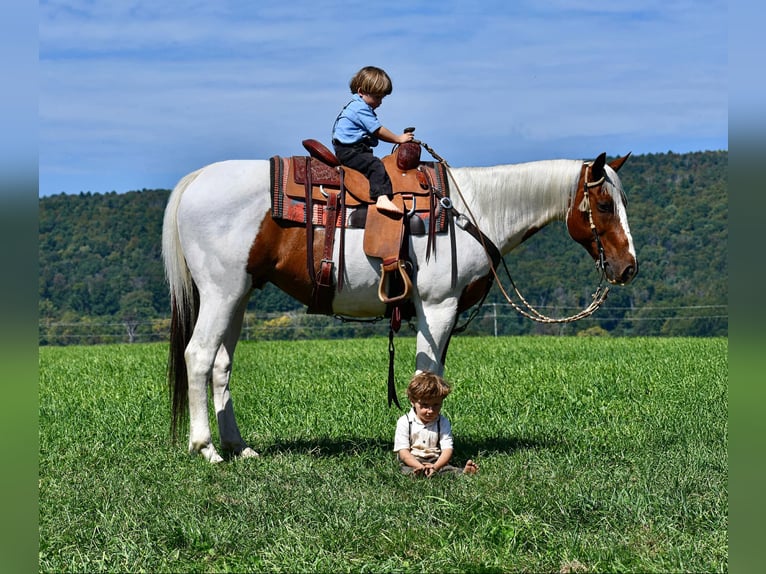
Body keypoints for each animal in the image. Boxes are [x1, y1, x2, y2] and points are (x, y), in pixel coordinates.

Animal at [160, 150, 636, 464]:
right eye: (604, 205)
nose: (628, 267)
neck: (473, 211)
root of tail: (196, 179)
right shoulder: (437, 307)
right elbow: (428, 373)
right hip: (221, 292)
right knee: (198, 357)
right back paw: (206, 449)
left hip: (239, 295)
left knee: (221, 365)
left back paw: (238, 447)